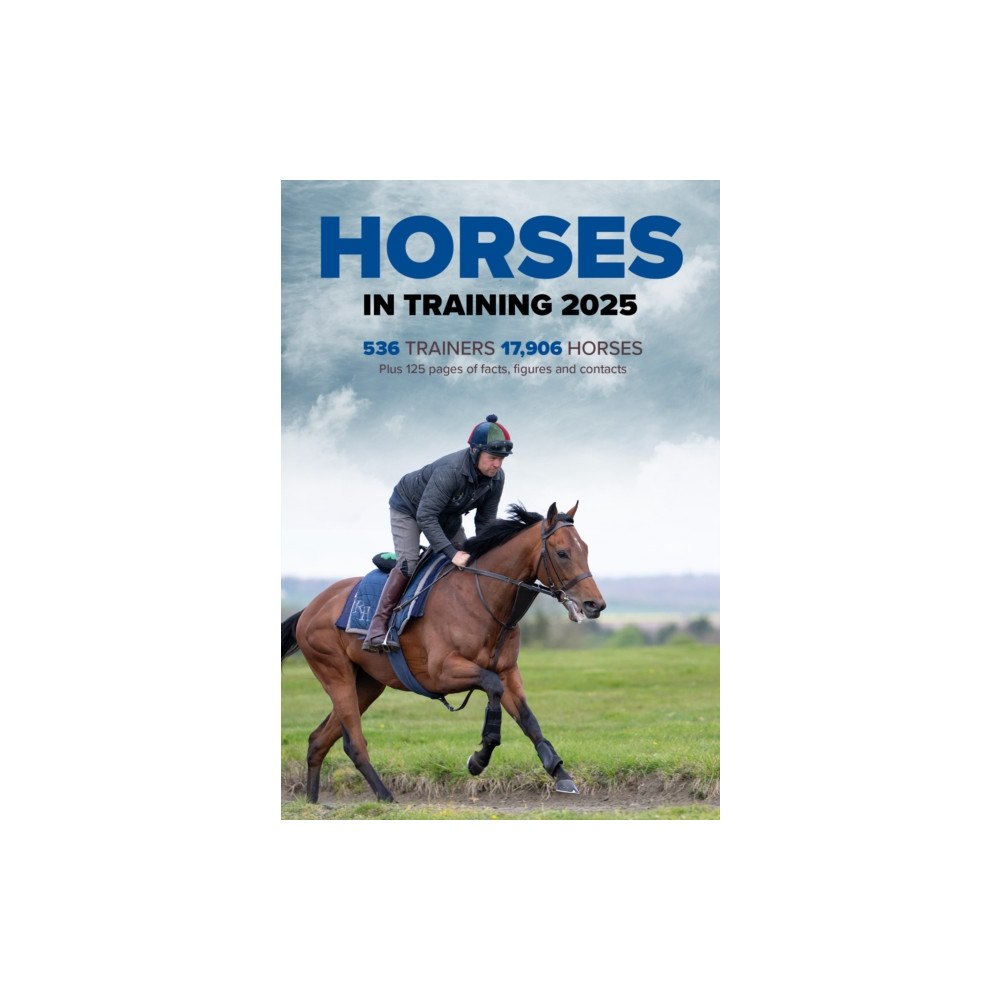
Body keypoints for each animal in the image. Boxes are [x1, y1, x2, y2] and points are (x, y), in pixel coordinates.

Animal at [280, 501, 606, 803]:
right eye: (562, 553)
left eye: (586, 549)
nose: (595, 605)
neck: (483, 600)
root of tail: (310, 608)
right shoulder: (440, 673)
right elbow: (492, 687)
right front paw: (479, 759)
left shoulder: (507, 670)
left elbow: (528, 718)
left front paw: (560, 772)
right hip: (335, 673)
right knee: (353, 743)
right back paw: (386, 797)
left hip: (368, 684)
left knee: (318, 740)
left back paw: (312, 803)